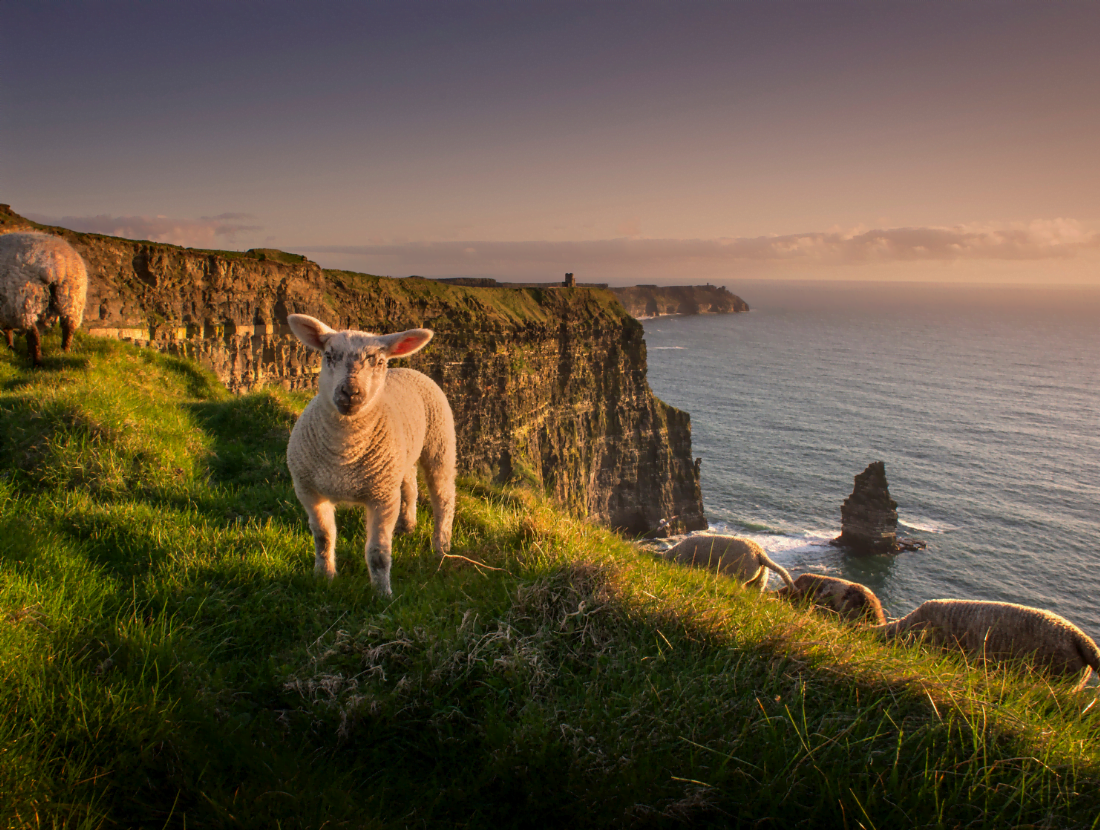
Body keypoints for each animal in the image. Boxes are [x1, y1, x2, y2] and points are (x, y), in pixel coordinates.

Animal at [0, 231, 88, 364]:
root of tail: (59, 264)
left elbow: (7, 330)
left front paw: (10, 348)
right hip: (73, 297)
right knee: (69, 328)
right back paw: (64, 351)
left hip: (25, 298)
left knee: (33, 332)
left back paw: (36, 361)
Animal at [288, 312, 455, 598]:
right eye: (328, 355)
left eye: (378, 361)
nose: (350, 392)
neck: (343, 453)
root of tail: (408, 368)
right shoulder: (309, 491)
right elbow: (323, 537)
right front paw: (324, 576)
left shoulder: (382, 498)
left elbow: (378, 552)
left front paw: (382, 595)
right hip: (399, 459)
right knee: (410, 486)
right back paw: (407, 525)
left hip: (440, 443)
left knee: (443, 497)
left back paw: (441, 547)